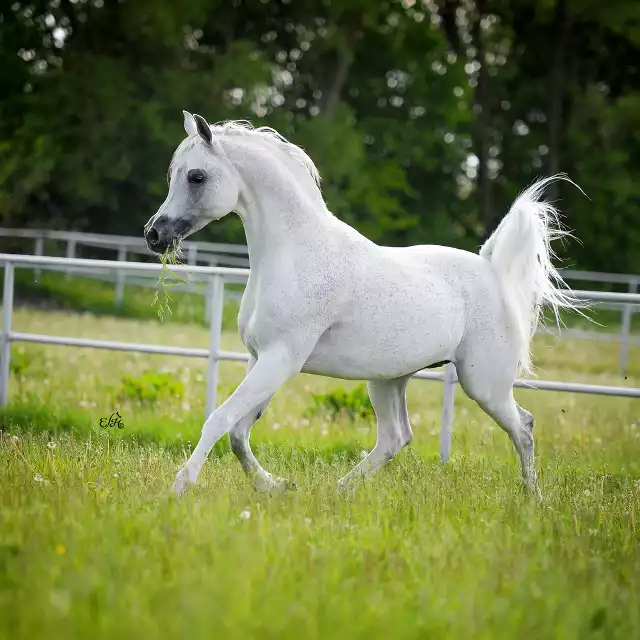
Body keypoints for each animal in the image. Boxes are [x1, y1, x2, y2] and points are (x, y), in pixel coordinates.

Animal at [144, 112, 580, 498]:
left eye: (196, 177)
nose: (154, 235)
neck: (295, 253)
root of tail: (493, 270)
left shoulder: (280, 359)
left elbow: (219, 420)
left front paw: (180, 487)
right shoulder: (261, 358)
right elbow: (237, 433)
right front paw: (276, 486)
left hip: (484, 384)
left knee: (523, 427)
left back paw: (533, 499)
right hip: (388, 379)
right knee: (395, 437)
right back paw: (339, 490)